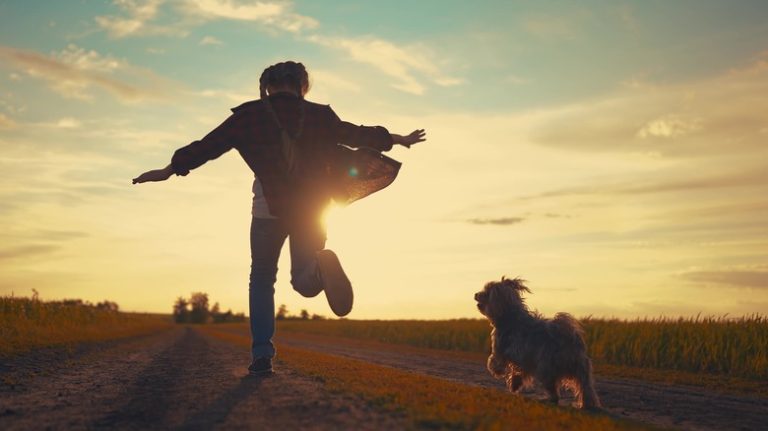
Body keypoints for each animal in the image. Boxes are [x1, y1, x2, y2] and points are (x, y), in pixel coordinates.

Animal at [474, 278, 600, 410]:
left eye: (486, 293)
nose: (476, 294)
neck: (509, 316)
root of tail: (568, 340)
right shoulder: (524, 358)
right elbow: (519, 372)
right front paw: (515, 384)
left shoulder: (501, 349)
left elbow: (495, 361)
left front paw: (497, 371)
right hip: (581, 368)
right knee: (586, 387)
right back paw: (588, 404)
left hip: (546, 368)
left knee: (554, 391)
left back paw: (549, 399)